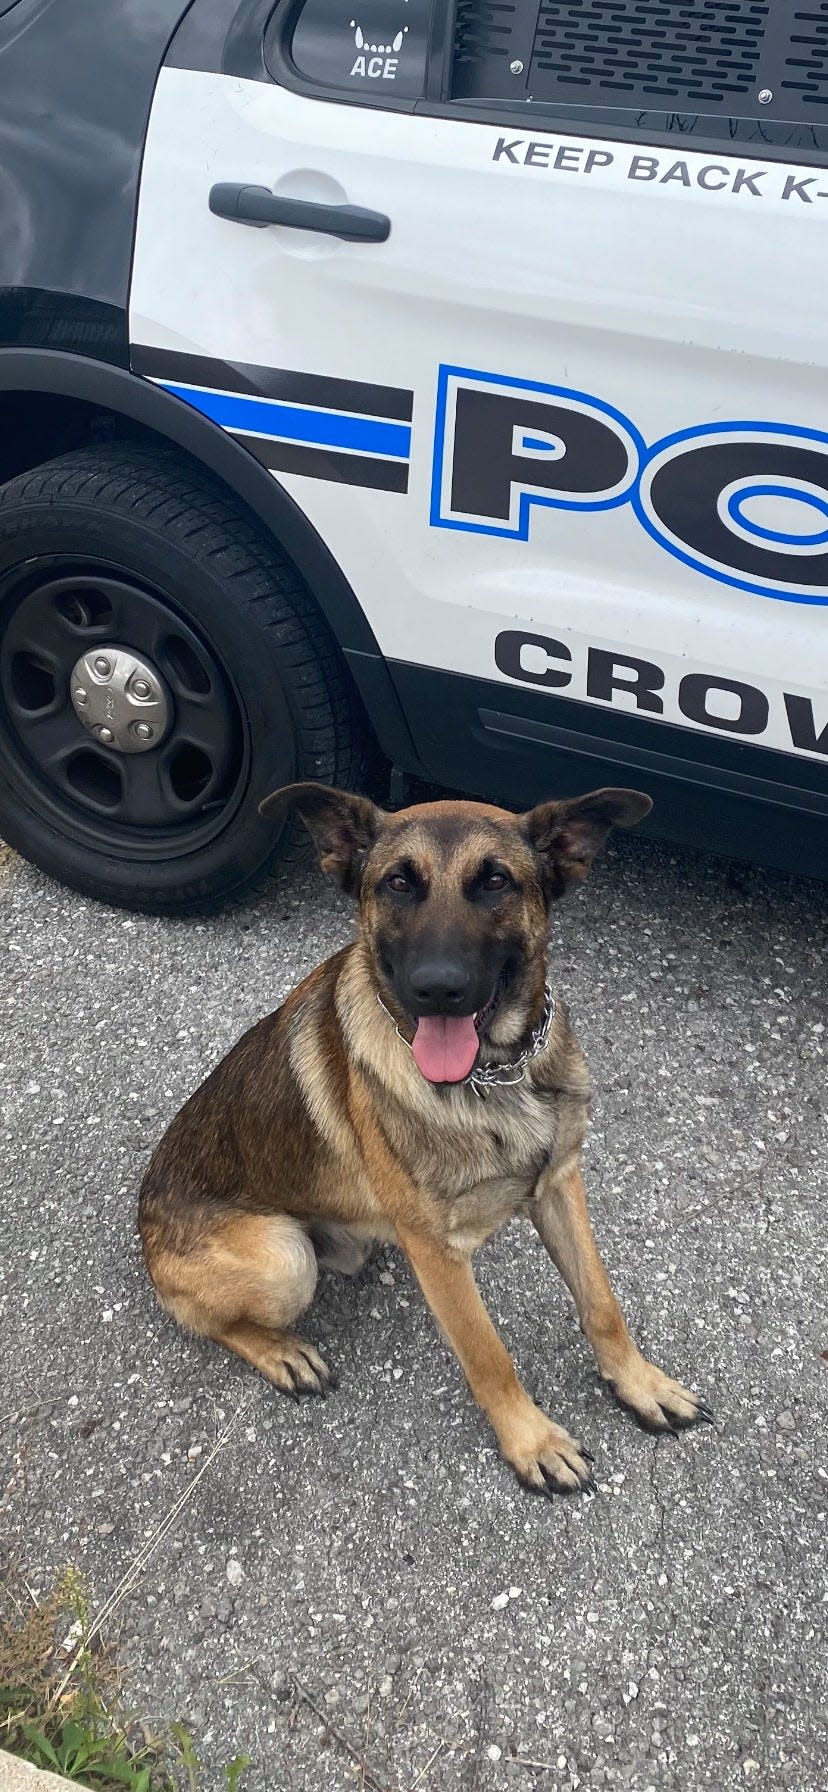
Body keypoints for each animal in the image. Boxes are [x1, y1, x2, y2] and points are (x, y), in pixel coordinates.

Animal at [137, 784, 713, 1498]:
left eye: (495, 881)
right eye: (398, 883)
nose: (438, 988)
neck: (497, 1073)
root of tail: (142, 1219)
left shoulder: (559, 1185)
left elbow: (602, 1302)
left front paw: (640, 1383)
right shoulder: (439, 1252)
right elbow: (488, 1353)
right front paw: (533, 1441)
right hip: (283, 1259)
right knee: (207, 1318)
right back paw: (281, 1351)